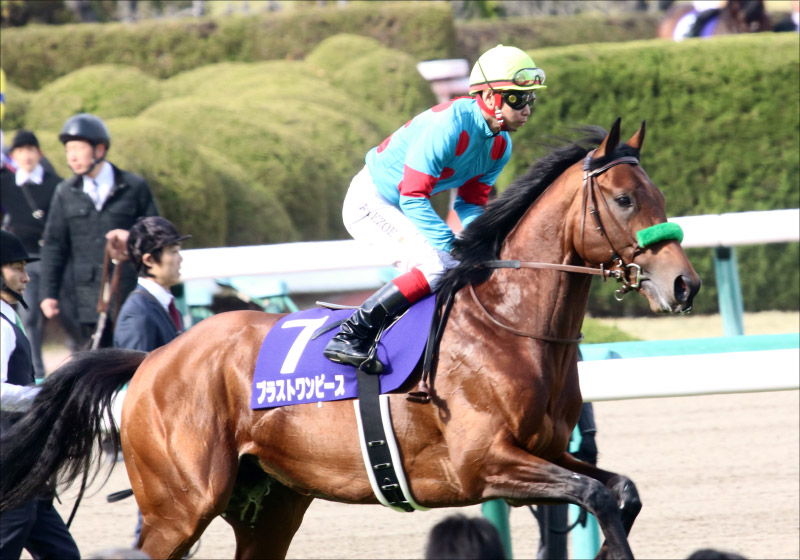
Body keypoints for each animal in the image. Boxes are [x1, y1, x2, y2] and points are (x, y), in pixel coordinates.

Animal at [1, 118, 700, 559]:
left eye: (658, 193)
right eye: (623, 198)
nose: (685, 285)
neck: (508, 325)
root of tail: (152, 361)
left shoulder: (545, 451)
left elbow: (619, 491)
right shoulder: (484, 464)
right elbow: (597, 495)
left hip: (270, 505)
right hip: (180, 504)